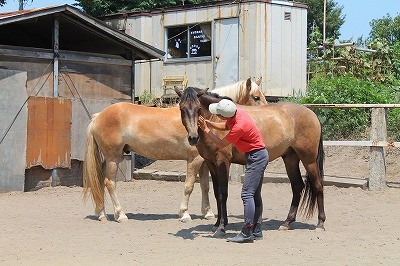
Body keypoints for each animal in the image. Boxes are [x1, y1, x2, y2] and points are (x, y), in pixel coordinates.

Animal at [83, 77, 268, 222]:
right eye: (256, 97)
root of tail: (98, 116)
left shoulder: (204, 162)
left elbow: (205, 186)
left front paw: (208, 213)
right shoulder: (194, 160)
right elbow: (189, 186)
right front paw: (185, 214)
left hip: (108, 158)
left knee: (100, 182)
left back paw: (102, 214)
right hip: (113, 157)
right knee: (110, 183)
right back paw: (120, 214)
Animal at [174, 87, 324, 237]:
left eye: (198, 108)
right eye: (182, 108)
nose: (193, 138)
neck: (215, 120)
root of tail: (312, 114)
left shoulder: (223, 162)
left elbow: (223, 193)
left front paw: (221, 226)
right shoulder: (211, 164)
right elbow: (217, 194)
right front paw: (217, 223)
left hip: (308, 159)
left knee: (318, 185)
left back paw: (320, 223)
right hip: (290, 159)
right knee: (297, 186)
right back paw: (287, 222)